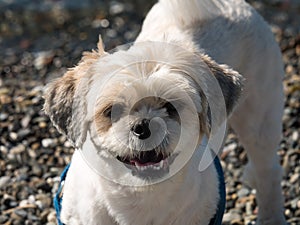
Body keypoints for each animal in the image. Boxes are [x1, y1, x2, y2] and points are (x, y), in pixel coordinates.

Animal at [44, 0, 286, 225]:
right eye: (111, 111)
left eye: (170, 107)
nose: (143, 126)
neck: (142, 196)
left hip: (260, 120)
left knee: (268, 171)